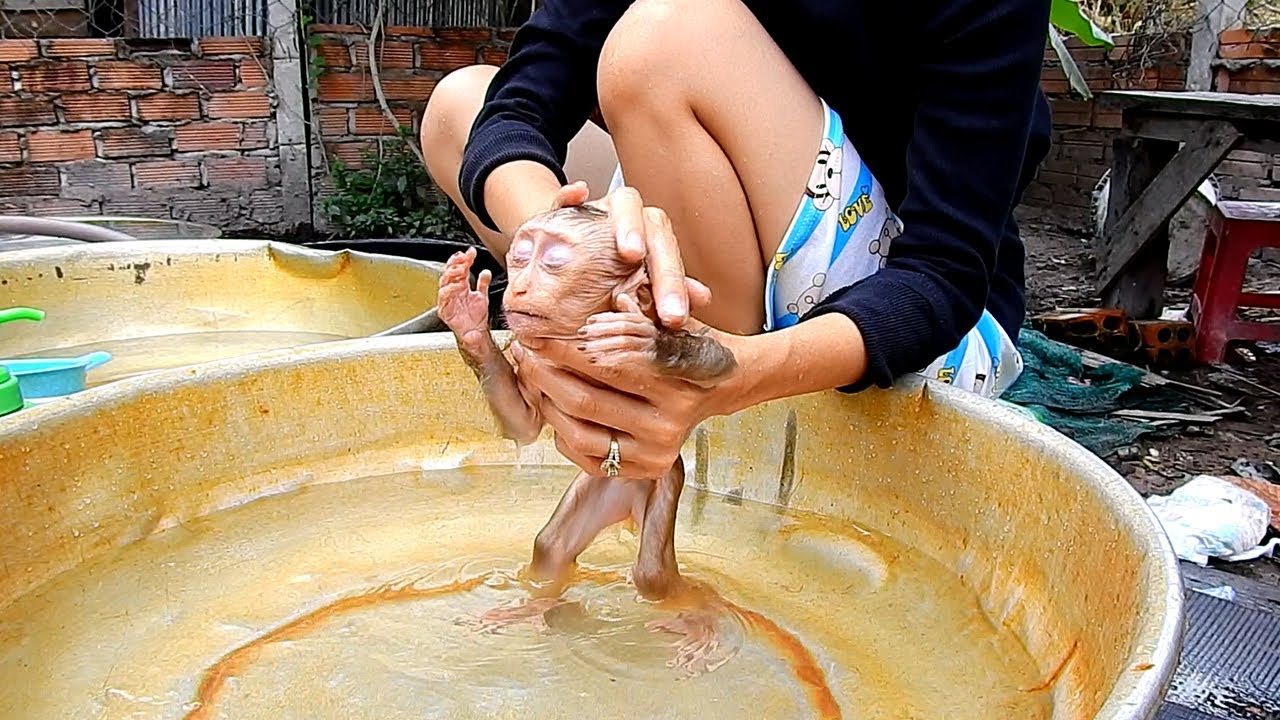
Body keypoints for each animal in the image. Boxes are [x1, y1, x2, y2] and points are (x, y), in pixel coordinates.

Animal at [437, 204, 739, 674]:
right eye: (520, 257)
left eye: (553, 261)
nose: (518, 287)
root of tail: (628, 495)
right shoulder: (533, 356)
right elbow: (523, 426)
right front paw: (468, 322)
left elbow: (723, 363)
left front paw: (647, 344)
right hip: (599, 484)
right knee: (550, 548)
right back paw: (534, 605)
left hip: (665, 477)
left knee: (652, 575)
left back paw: (699, 618)